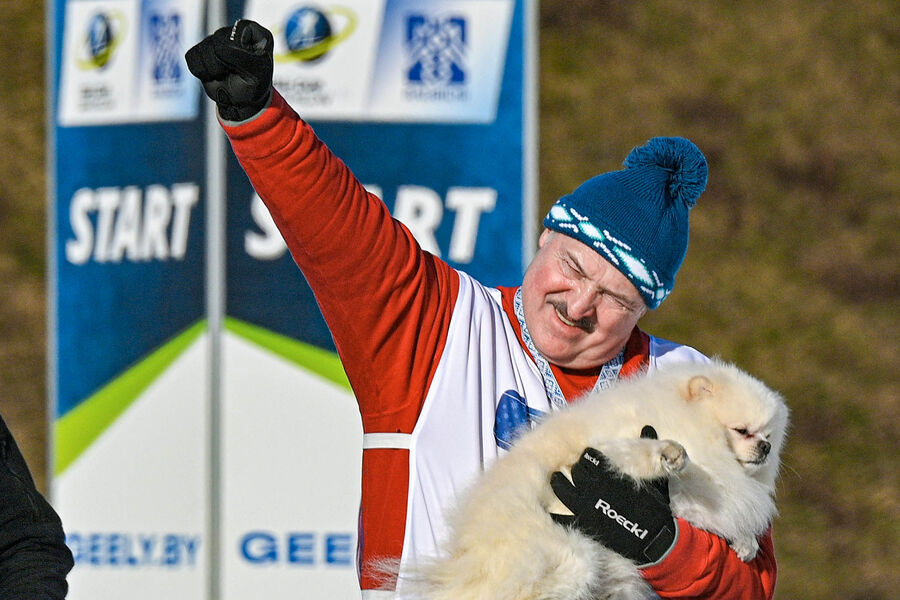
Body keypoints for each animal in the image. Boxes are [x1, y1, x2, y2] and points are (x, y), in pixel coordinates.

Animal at [400, 358, 788, 596]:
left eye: (768, 435)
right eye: (742, 431)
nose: (765, 448)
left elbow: (708, 515)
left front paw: (745, 543)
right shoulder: (605, 445)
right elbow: (636, 454)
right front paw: (667, 454)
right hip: (568, 553)